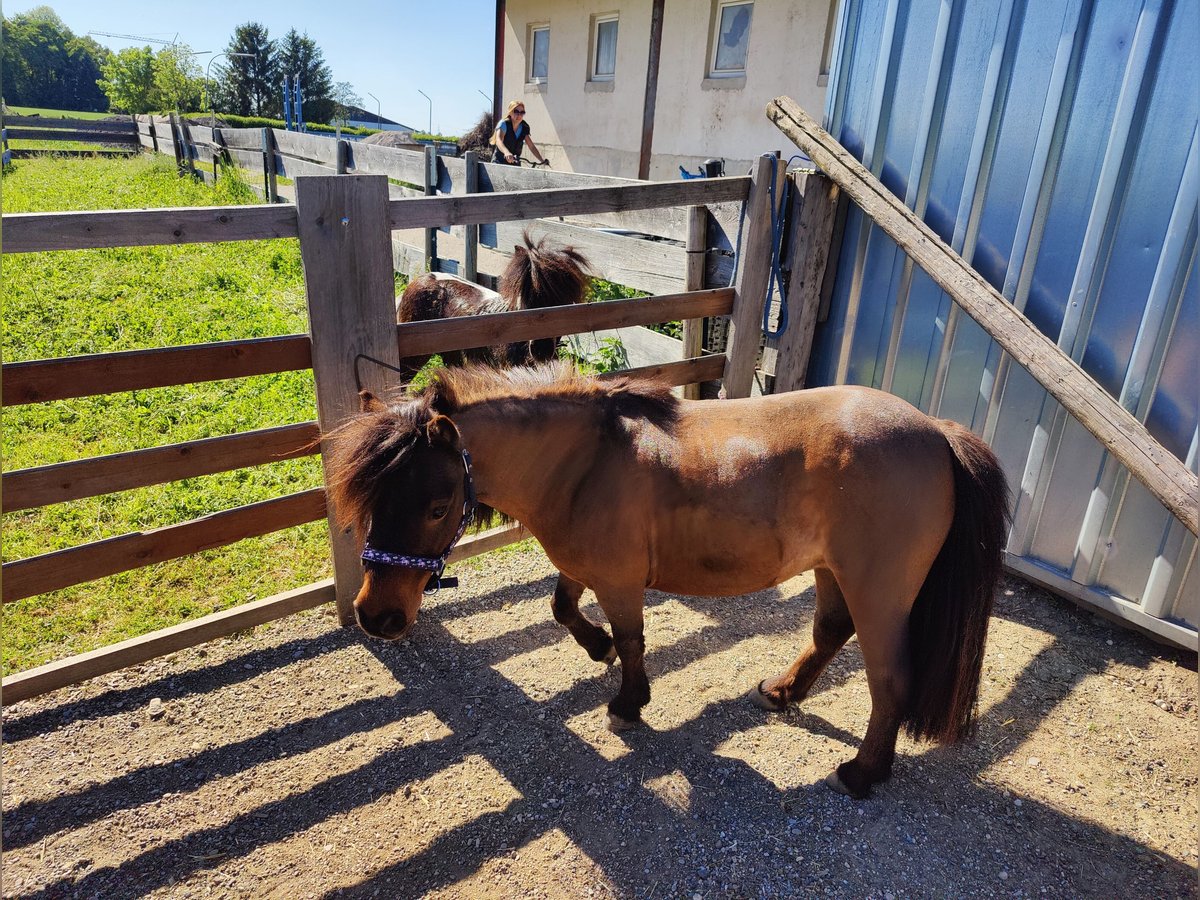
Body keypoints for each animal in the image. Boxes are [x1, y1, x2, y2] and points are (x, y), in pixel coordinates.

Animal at [324, 362, 1008, 801]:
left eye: (438, 506)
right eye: (370, 498)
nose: (377, 616)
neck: (585, 461)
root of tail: (937, 432)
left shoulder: (619, 579)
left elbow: (632, 640)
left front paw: (628, 702)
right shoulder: (582, 567)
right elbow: (561, 608)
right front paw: (596, 649)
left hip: (879, 592)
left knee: (890, 680)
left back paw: (863, 773)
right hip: (833, 571)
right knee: (829, 632)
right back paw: (782, 691)